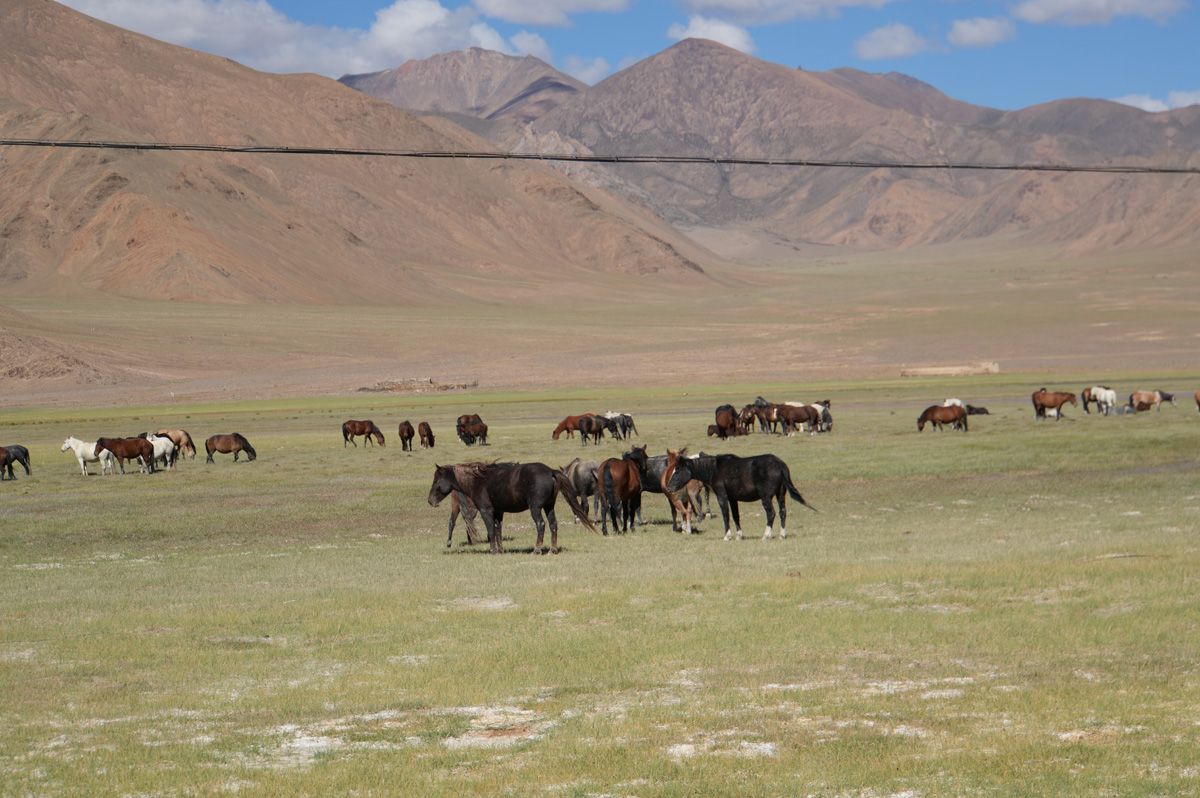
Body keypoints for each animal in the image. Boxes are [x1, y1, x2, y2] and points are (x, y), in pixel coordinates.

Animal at [427, 462, 597, 555]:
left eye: (436, 480)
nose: (430, 501)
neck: (479, 481)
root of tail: (550, 471)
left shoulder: (486, 511)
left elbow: (491, 531)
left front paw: (492, 550)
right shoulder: (498, 512)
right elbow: (498, 530)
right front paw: (500, 550)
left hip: (536, 508)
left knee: (541, 524)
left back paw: (537, 549)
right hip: (549, 506)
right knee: (553, 524)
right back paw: (552, 550)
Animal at [671, 453, 815, 541]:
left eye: (677, 470)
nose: (669, 487)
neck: (715, 469)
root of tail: (780, 464)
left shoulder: (722, 497)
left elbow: (726, 515)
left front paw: (727, 536)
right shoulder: (733, 498)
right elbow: (736, 516)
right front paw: (739, 535)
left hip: (766, 497)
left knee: (771, 513)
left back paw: (766, 535)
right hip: (780, 494)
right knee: (782, 512)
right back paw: (782, 534)